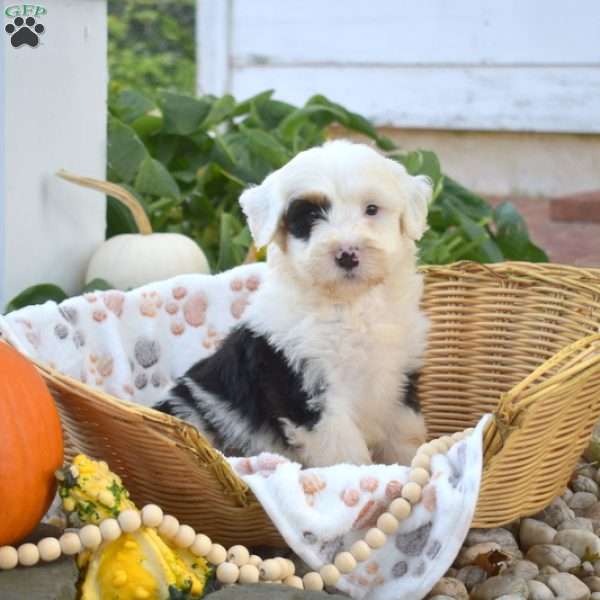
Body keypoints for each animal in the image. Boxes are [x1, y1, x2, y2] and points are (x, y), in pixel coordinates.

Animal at [156, 141, 432, 468]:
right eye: (310, 215)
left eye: (372, 209)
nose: (347, 254)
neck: (349, 305)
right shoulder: (306, 387)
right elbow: (345, 456)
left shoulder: (399, 381)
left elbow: (404, 438)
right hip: (193, 408)